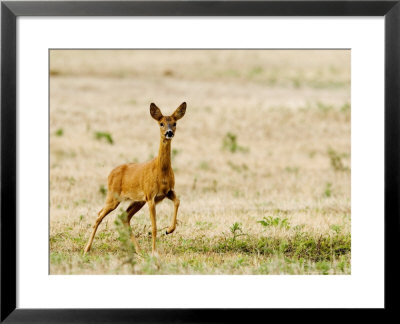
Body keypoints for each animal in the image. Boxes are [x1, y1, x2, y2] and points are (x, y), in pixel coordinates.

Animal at [84, 102, 188, 256]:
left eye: (174, 123)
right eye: (161, 123)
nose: (169, 133)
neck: (161, 172)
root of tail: (110, 174)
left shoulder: (168, 191)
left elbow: (178, 201)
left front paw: (169, 230)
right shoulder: (150, 195)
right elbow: (154, 227)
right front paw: (154, 252)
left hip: (137, 201)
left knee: (124, 217)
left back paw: (139, 250)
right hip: (113, 196)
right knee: (99, 215)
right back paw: (86, 249)